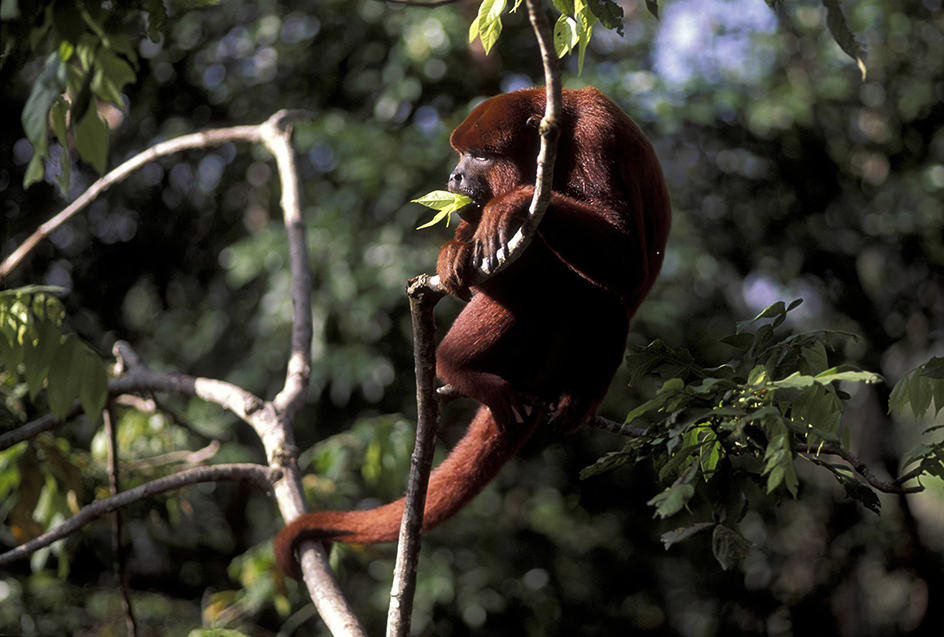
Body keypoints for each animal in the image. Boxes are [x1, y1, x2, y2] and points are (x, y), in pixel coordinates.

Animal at [272, 87, 672, 580]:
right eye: (460, 154)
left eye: (480, 155)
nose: (454, 175)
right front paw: (453, 250)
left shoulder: (600, 138)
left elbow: (627, 257)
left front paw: (513, 203)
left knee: (587, 292)